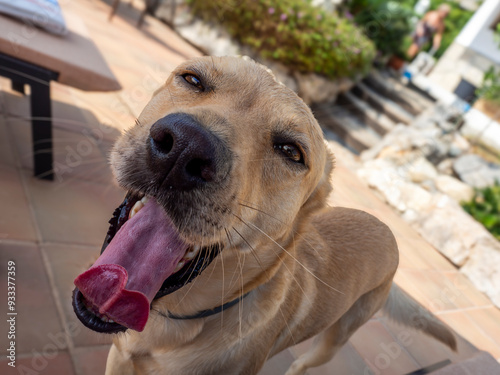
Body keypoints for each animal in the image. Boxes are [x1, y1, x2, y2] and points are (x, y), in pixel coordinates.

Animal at [71, 56, 458, 375]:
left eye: (291, 151)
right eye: (193, 79)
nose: (184, 147)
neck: (174, 320)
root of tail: (387, 229)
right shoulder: (120, 360)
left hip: (333, 342)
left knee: (303, 364)